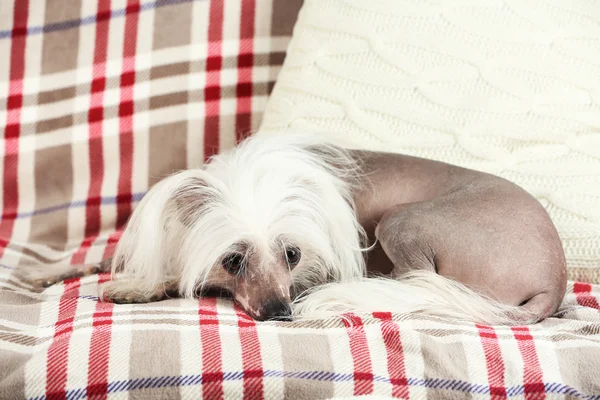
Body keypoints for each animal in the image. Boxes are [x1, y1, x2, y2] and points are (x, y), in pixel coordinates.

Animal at [21, 134, 568, 324]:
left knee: (418, 282)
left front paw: (137, 286)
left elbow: (175, 277)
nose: (280, 312)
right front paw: (47, 274)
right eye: (233, 260)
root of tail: (558, 280)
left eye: (293, 255)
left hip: (404, 220)